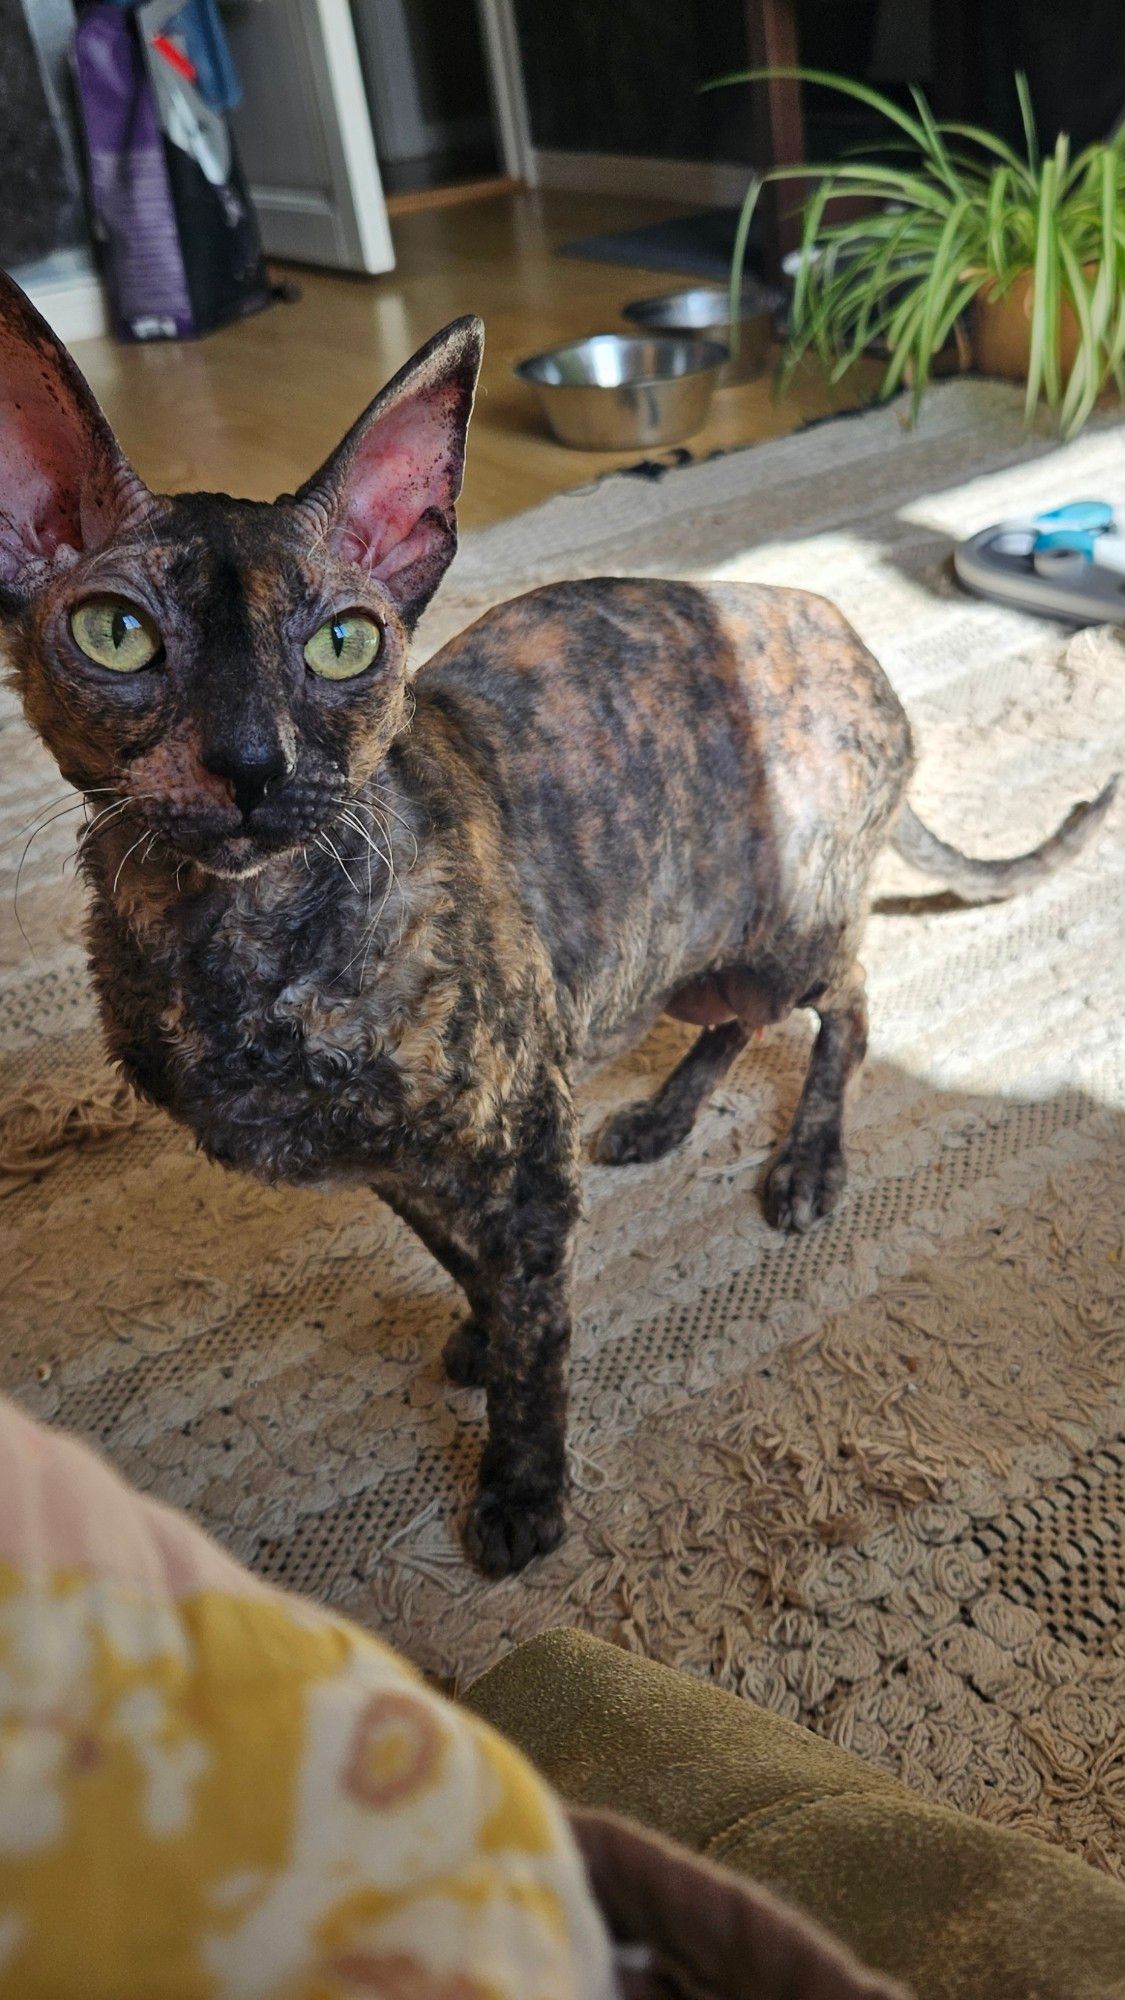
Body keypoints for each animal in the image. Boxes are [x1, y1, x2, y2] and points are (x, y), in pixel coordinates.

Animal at [4, 274, 1112, 1568]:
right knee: (738, 1015)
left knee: (849, 1001)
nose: (250, 764)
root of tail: (858, 647)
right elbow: (471, 1266)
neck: (241, 951)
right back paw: (662, 1115)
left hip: (787, 927)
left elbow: (541, 1329)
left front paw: (523, 1484)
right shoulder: (401, 1158)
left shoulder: (521, 1141)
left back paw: (808, 1159)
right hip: (680, 944)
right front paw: (483, 1332)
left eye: (343, 643)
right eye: (115, 633)